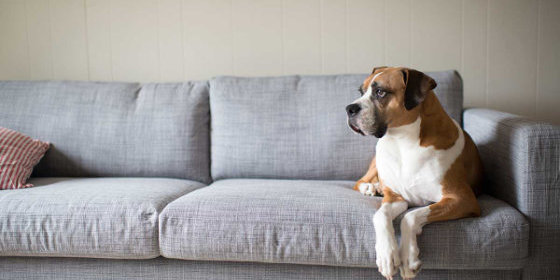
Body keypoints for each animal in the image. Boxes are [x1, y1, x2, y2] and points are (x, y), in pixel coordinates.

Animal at [344, 66, 484, 278]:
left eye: (380, 92)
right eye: (361, 92)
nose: (349, 108)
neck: (402, 141)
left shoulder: (462, 199)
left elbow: (410, 217)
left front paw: (408, 259)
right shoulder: (395, 198)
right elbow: (380, 216)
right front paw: (386, 255)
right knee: (360, 181)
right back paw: (371, 187)